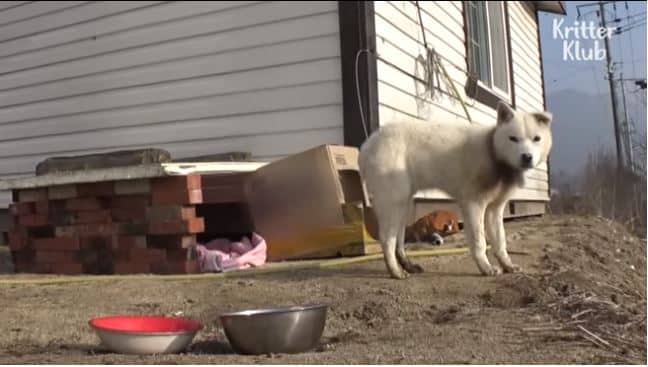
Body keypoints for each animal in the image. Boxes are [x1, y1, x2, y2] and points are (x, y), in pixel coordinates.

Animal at [360, 100, 552, 278]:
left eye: (536, 139)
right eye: (513, 138)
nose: (526, 157)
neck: (493, 152)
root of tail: (366, 146)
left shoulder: (494, 209)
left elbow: (500, 241)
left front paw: (508, 265)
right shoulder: (473, 205)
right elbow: (480, 242)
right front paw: (486, 268)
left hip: (403, 203)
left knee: (398, 240)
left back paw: (408, 265)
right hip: (393, 201)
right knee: (387, 240)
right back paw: (395, 271)